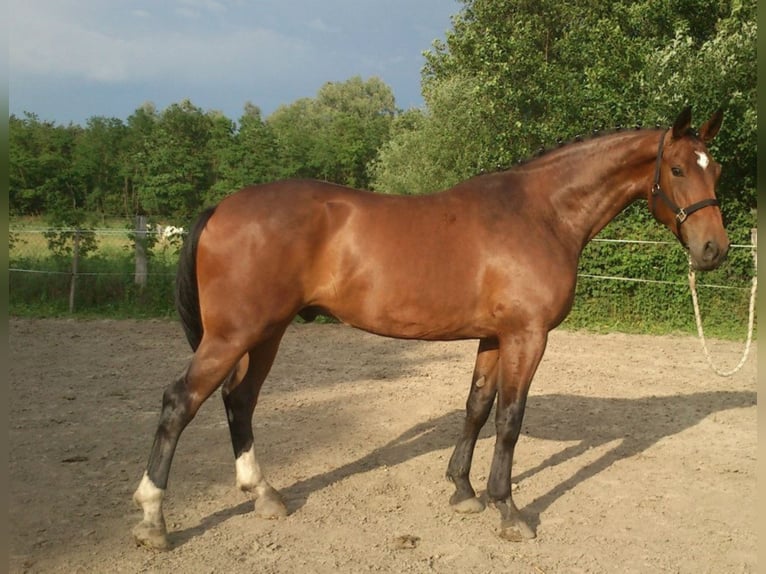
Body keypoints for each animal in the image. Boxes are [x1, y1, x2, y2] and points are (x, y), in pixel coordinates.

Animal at [132, 107, 728, 549]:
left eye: (715, 170)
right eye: (678, 170)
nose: (713, 250)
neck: (541, 213)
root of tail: (221, 207)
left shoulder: (495, 337)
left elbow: (477, 407)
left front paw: (463, 490)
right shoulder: (528, 336)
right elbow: (509, 419)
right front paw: (509, 511)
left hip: (267, 334)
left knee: (240, 401)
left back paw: (264, 496)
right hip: (235, 335)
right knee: (179, 402)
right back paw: (154, 519)